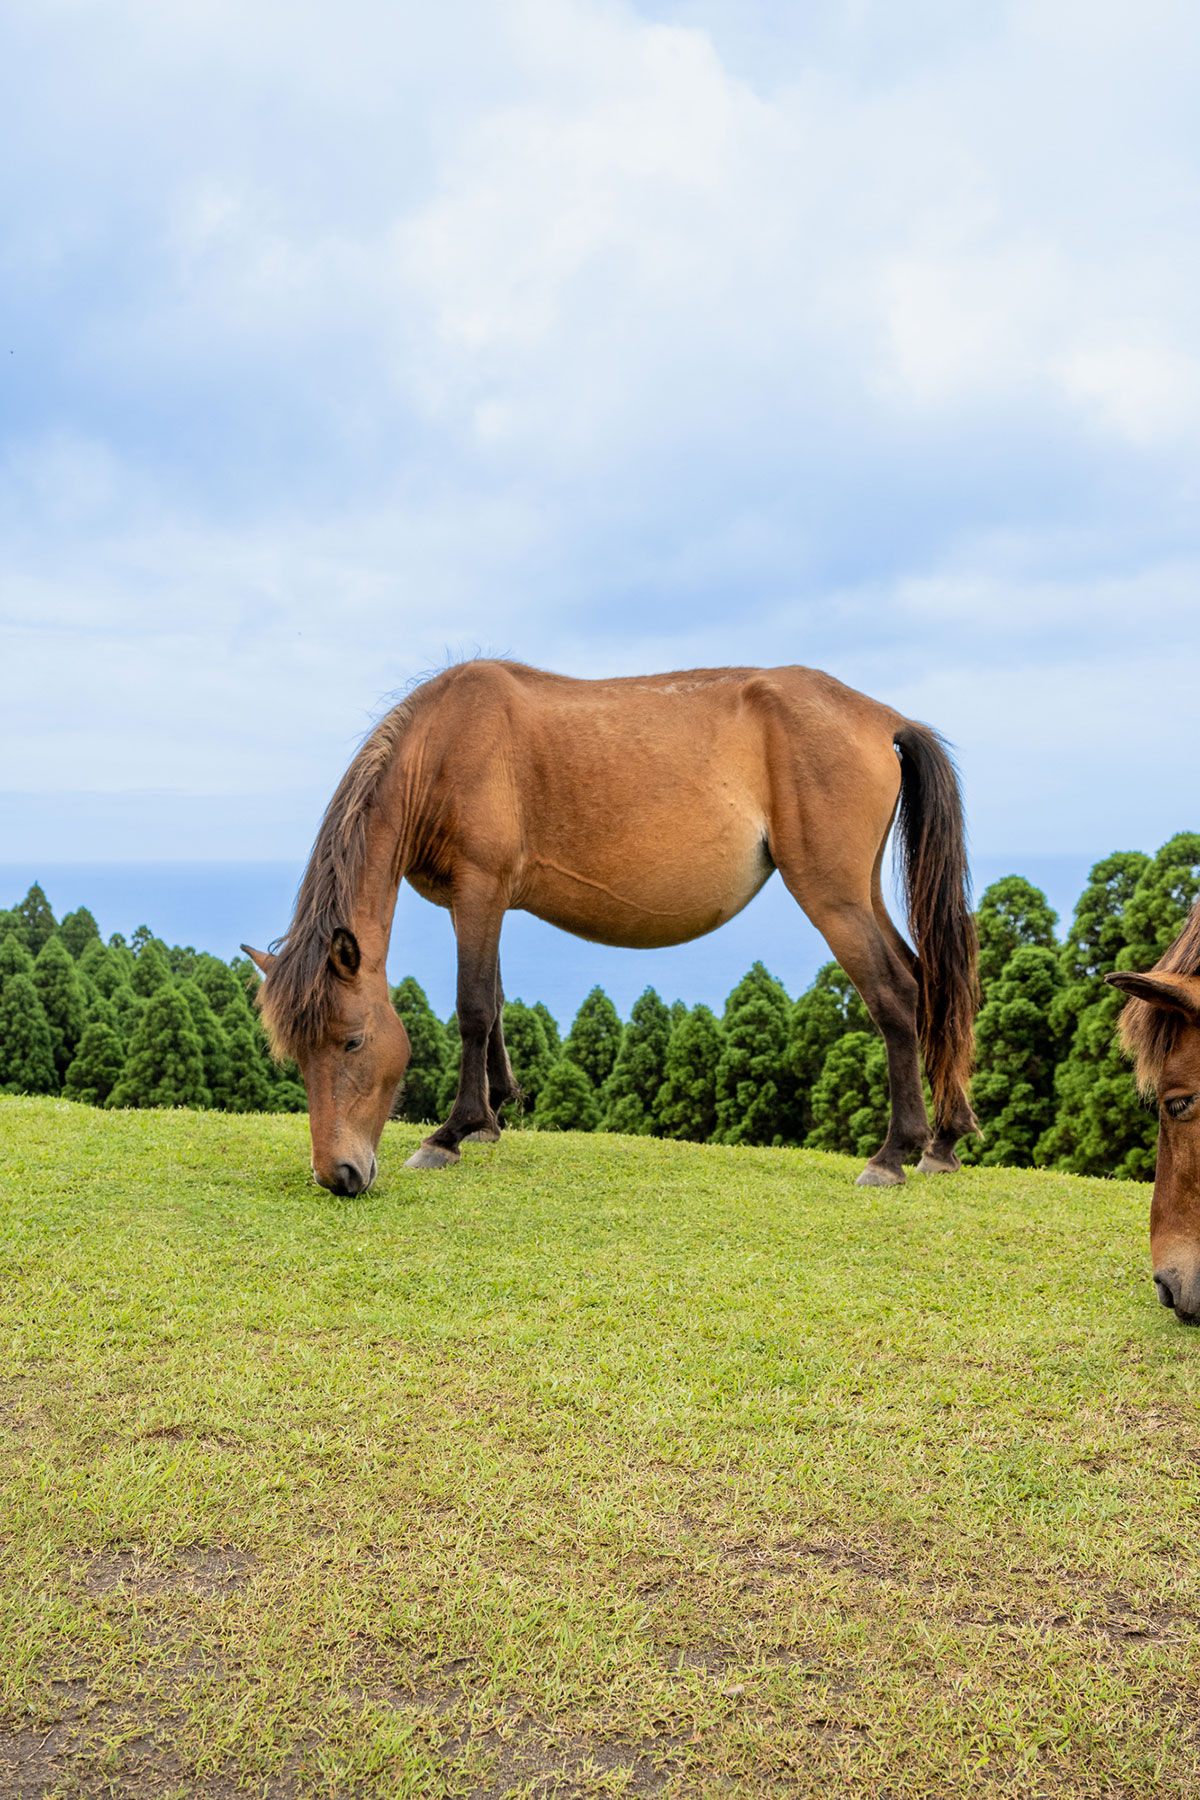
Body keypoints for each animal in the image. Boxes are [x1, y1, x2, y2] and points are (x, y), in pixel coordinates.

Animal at [239, 662, 978, 1195]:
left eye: (353, 1041)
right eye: (296, 1056)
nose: (338, 1175)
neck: (445, 745)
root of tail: (884, 719)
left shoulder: (479, 890)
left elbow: (472, 1008)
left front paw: (450, 1133)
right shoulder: (478, 901)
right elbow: (496, 1003)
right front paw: (492, 1118)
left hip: (833, 896)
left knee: (896, 997)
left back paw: (894, 1153)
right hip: (860, 895)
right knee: (929, 988)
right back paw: (944, 1140)